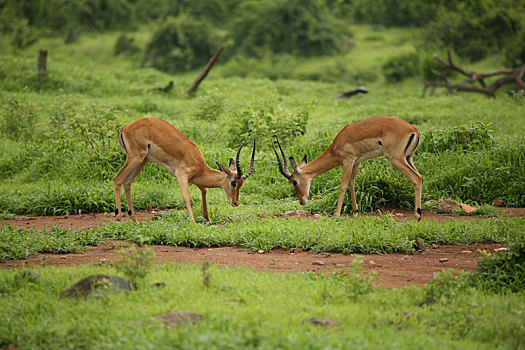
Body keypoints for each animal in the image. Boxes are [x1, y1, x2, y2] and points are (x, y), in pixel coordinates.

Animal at [113, 117, 255, 221]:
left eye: (241, 184)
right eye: (233, 182)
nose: (236, 203)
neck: (200, 166)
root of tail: (125, 128)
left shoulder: (195, 179)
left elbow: (204, 191)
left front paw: (207, 219)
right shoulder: (181, 174)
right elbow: (187, 196)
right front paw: (193, 222)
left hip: (144, 160)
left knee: (128, 182)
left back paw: (134, 220)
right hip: (136, 158)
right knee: (118, 179)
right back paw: (119, 218)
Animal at [272, 117, 424, 221]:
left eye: (294, 182)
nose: (302, 202)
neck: (337, 144)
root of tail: (413, 130)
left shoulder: (348, 161)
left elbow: (343, 185)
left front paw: (336, 214)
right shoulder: (357, 162)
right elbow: (352, 182)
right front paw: (355, 212)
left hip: (395, 158)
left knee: (416, 178)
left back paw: (417, 216)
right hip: (408, 158)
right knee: (421, 177)